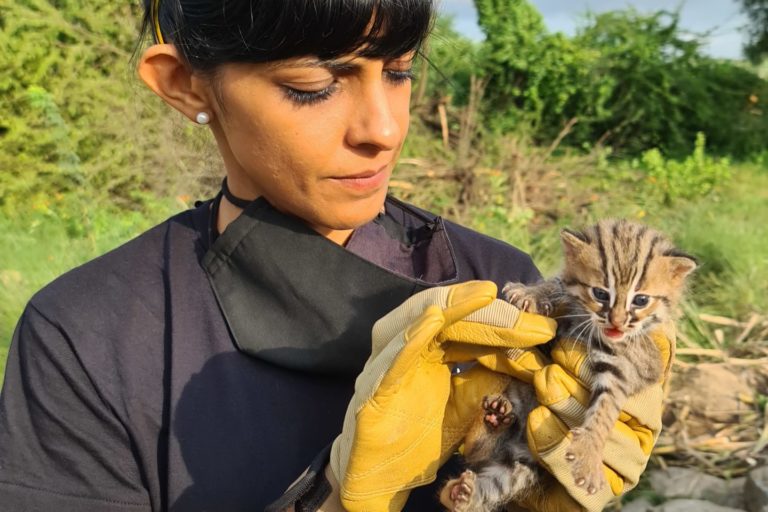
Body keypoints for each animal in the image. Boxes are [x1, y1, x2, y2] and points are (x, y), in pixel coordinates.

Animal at [438, 219, 696, 512]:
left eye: (641, 300)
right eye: (600, 294)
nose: (617, 323)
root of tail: (515, 448)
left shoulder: (625, 366)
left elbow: (605, 408)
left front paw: (590, 451)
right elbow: (559, 284)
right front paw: (532, 294)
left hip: (520, 468)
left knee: (492, 476)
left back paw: (465, 485)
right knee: (474, 452)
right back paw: (492, 421)